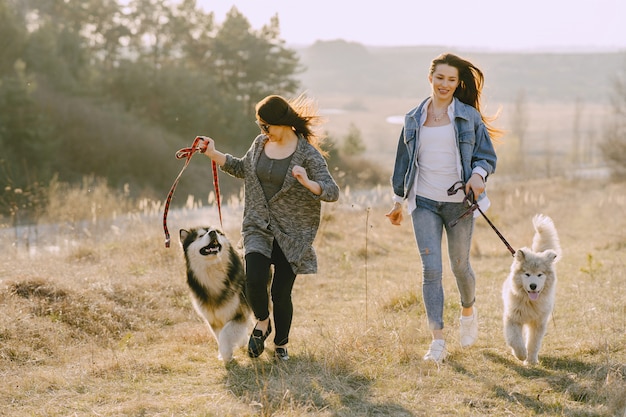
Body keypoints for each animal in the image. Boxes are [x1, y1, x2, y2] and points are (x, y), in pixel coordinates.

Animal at [177, 226, 252, 360]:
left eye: (217, 232)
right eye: (200, 235)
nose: (212, 233)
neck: (213, 273)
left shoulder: (240, 314)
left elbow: (225, 334)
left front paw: (226, 354)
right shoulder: (213, 319)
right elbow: (220, 335)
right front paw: (227, 353)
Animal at [502, 214, 560, 364]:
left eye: (540, 275)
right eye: (527, 274)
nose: (533, 285)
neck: (530, 302)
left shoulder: (538, 323)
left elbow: (533, 343)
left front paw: (531, 361)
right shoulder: (513, 319)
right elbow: (515, 340)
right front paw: (521, 355)